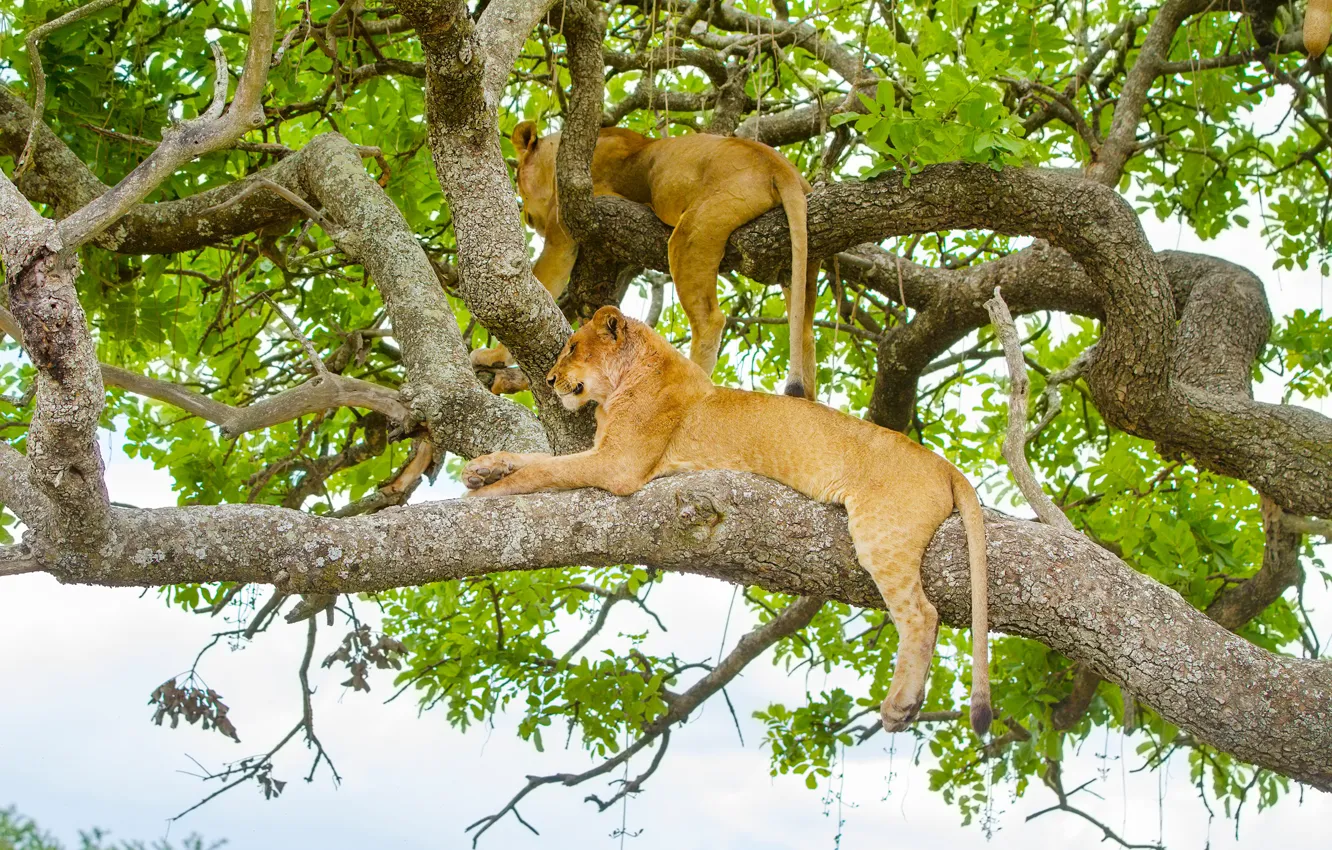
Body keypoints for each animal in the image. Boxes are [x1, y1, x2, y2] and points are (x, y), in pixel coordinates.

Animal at [462, 305, 992, 735]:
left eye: (573, 347)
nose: (550, 380)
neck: (630, 380)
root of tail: (943, 464)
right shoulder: (603, 454)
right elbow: (533, 457)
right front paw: (482, 467)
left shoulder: (619, 465)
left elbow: (542, 469)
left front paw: (486, 492)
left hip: (881, 533)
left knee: (922, 614)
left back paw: (901, 705)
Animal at [471, 122, 821, 400]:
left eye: (517, 176)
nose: (529, 219)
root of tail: (779, 165)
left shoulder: (564, 229)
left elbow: (539, 286)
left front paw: (493, 354)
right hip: (802, 262)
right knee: (804, 331)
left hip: (691, 231)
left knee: (709, 319)